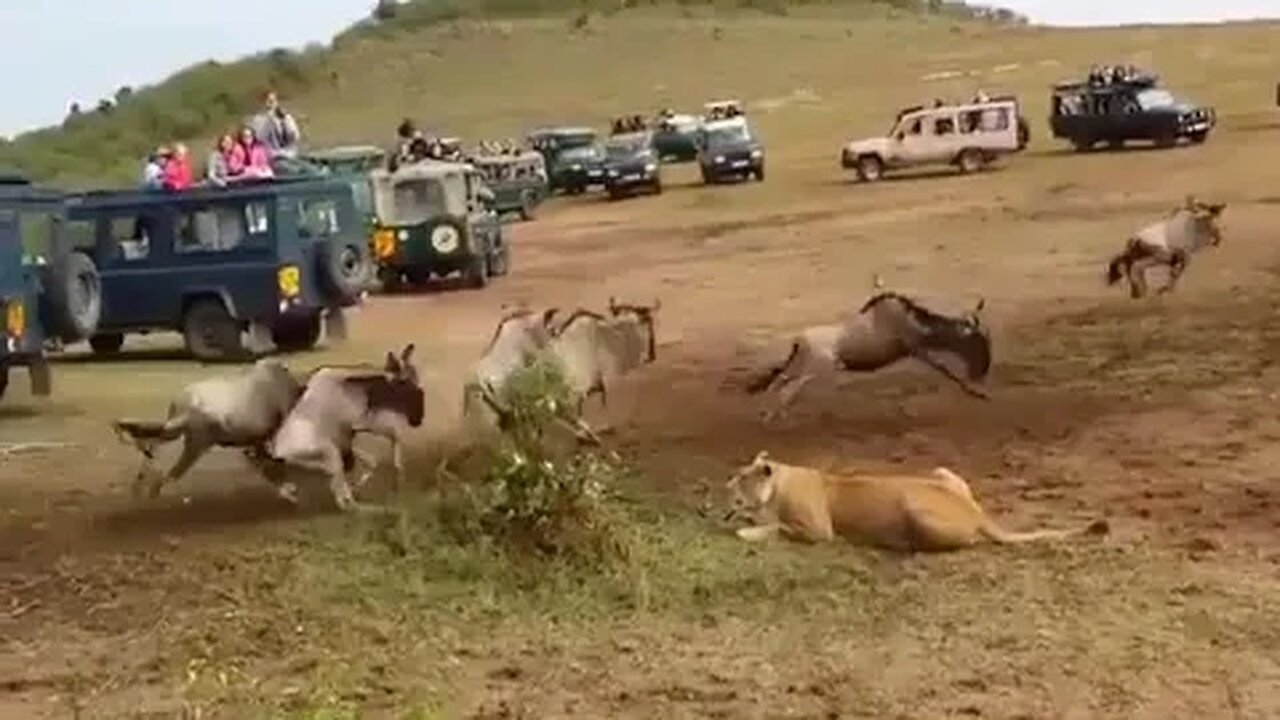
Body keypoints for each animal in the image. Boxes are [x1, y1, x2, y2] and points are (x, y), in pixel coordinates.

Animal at [725, 451, 1109, 553]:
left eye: (741, 476)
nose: (725, 484)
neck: (778, 483)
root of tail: (976, 513)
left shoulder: (819, 531)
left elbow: (778, 527)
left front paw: (745, 531)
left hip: (913, 507)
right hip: (941, 472)